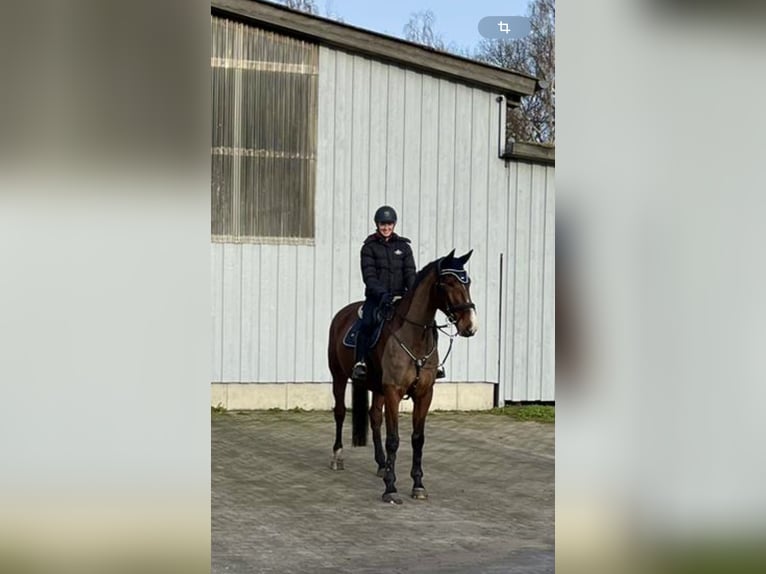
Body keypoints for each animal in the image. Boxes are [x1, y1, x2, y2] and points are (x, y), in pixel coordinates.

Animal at [326, 248, 480, 504]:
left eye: (467, 281)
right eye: (448, 283)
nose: (470, 326)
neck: (414, 335)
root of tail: (341, 314)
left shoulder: (424, 394)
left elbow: (417, 438)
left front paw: (418, 485)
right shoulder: (393, 392)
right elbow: (394, 439)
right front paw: (390, 488)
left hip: (377, 387)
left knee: (374, 417)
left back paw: (381, 465)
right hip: (338, 376)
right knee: (339, 413)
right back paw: (337, 457)